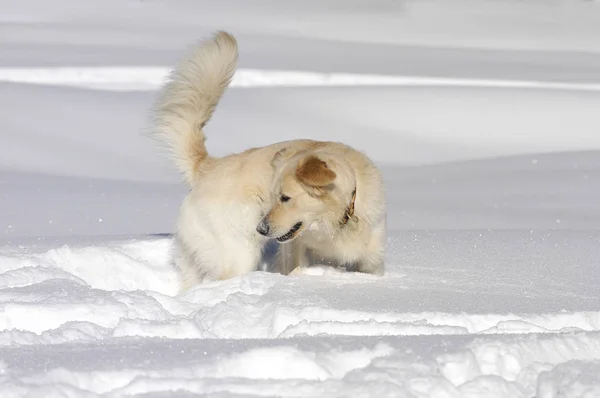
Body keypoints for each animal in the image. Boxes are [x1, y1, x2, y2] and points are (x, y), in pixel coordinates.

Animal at [148, 30, 386, 290]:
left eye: (285, 198)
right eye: (271, 198)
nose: (261, 228)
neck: (339, 220)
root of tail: (208, 167)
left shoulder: (372, 261)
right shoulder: (293, 249)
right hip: (239, 253)